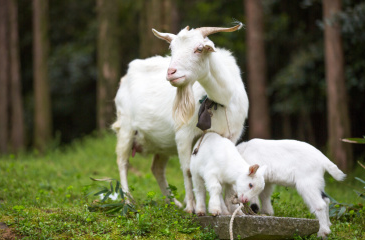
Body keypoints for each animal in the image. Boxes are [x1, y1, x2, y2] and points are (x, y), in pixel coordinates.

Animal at [112, 23, 247, 212]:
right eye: (172, 49)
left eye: (199, 49)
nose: (171, 72)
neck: (223, 99)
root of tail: (126, 76)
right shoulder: (184, 134)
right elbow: (188, 170)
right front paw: (192, 207)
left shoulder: (231, 135)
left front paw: (233, 209)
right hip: (126, 128)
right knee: (123, 162)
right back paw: (128, 201)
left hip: (162, 144)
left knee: (157, 169)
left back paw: (173, 203)